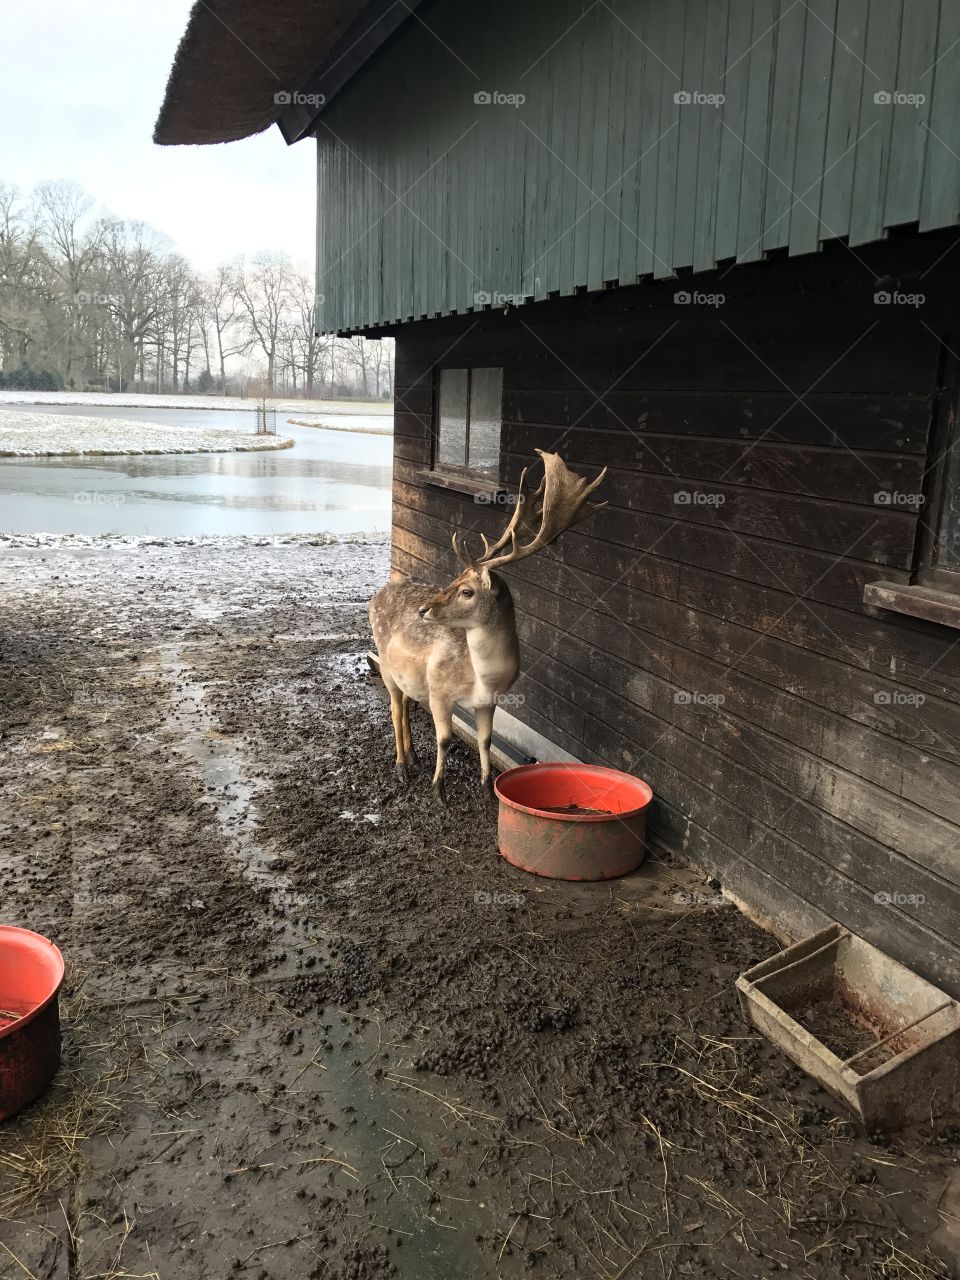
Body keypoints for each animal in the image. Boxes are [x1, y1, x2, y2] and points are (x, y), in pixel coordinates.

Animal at [369, 450, 606, 798]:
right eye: (454, 579)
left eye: (466, 590)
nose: (424, 609)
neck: (482, 680)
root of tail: (376, 595)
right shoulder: (439, 691)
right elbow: (445, 739)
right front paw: (439, 790)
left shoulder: (488, 703)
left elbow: (486, 741)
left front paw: (486, 788)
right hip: (385, 661)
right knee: (395, 708)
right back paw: (401, 767)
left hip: (406, 673)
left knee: (406, 704)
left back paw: (413, 757)